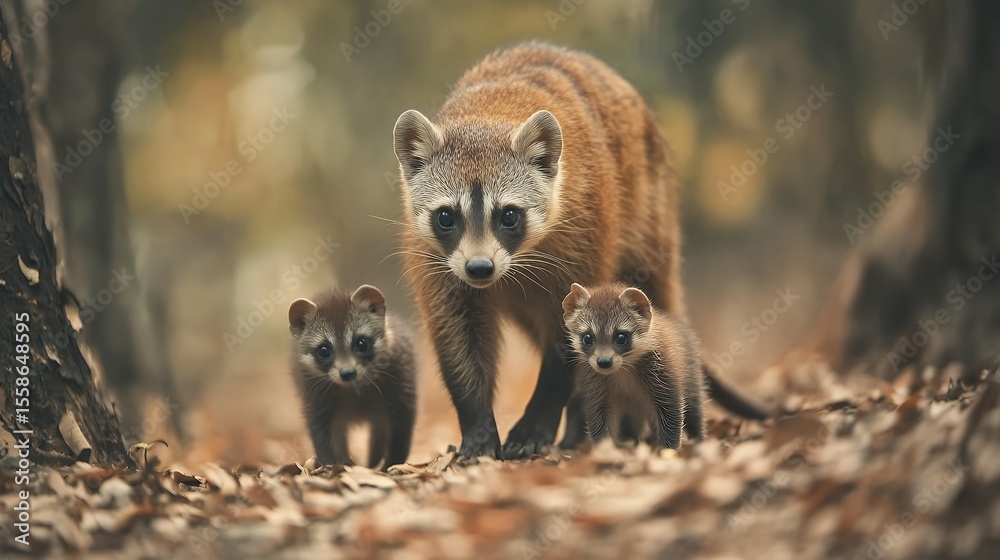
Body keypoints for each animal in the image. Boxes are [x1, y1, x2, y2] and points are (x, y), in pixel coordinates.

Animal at [287, 285, 416, 469]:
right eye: (324, 350)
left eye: (361, 343)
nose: (348, 373)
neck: (353, 387)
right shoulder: (311, 389)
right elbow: (319, 427)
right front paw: (329, 463)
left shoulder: (401, 375)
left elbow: (402, 423)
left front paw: (392, 463)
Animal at [562, 282, 704, 449]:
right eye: (587, 338)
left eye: (621, 337)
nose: (603, 362)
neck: (623, 370)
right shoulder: (595, 391)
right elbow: (598, 422)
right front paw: (604, 449)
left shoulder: (665, 376)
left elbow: (672, 417)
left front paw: (668, 450)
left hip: (692, 378)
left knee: (695, 410)